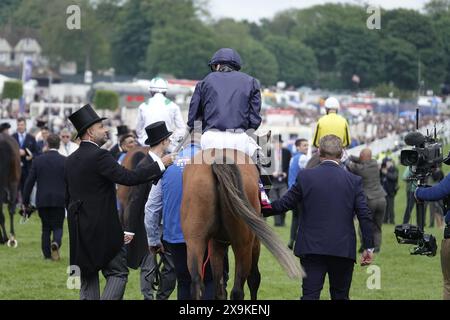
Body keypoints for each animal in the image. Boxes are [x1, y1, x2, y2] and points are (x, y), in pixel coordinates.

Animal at [181, 148, 304, 300]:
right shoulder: (255, 242)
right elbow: (254, 278)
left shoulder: (216, 243)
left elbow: (220, 288)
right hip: (243, 245)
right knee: (237, 290)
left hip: (195, 241)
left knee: (197, 284)